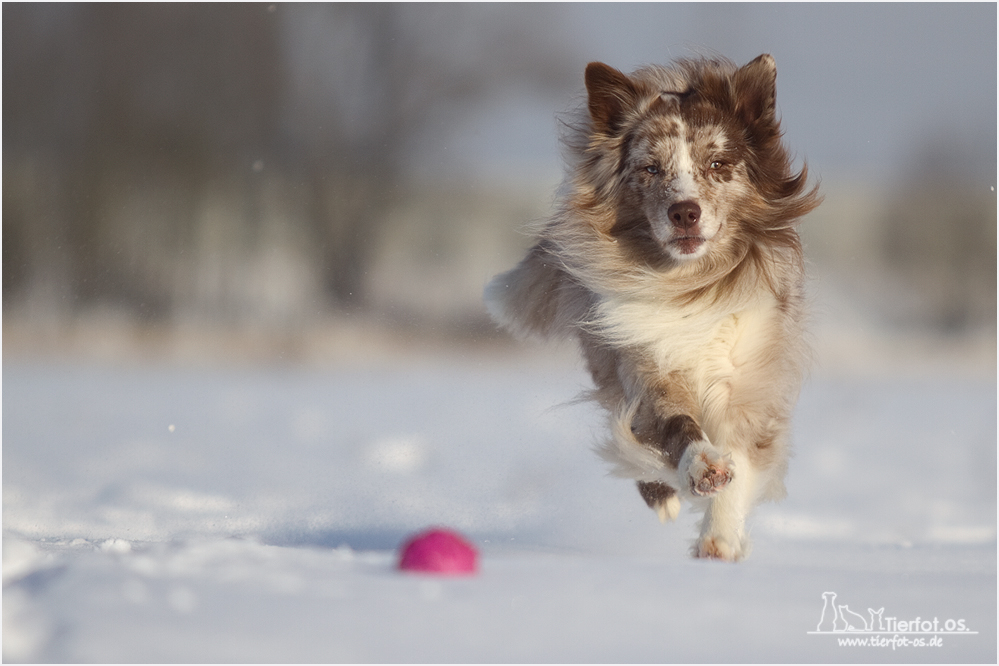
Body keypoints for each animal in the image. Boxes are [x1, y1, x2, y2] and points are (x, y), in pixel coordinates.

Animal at [484, 54, 820, 556]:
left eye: (717, 164)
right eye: (650, 170)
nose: (684, 212)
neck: (688, 284)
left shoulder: (748, 378)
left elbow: (740, 453)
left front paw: (719, 539)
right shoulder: (642, 361)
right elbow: (673, 425)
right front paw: (702, 467)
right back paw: (663, 492)